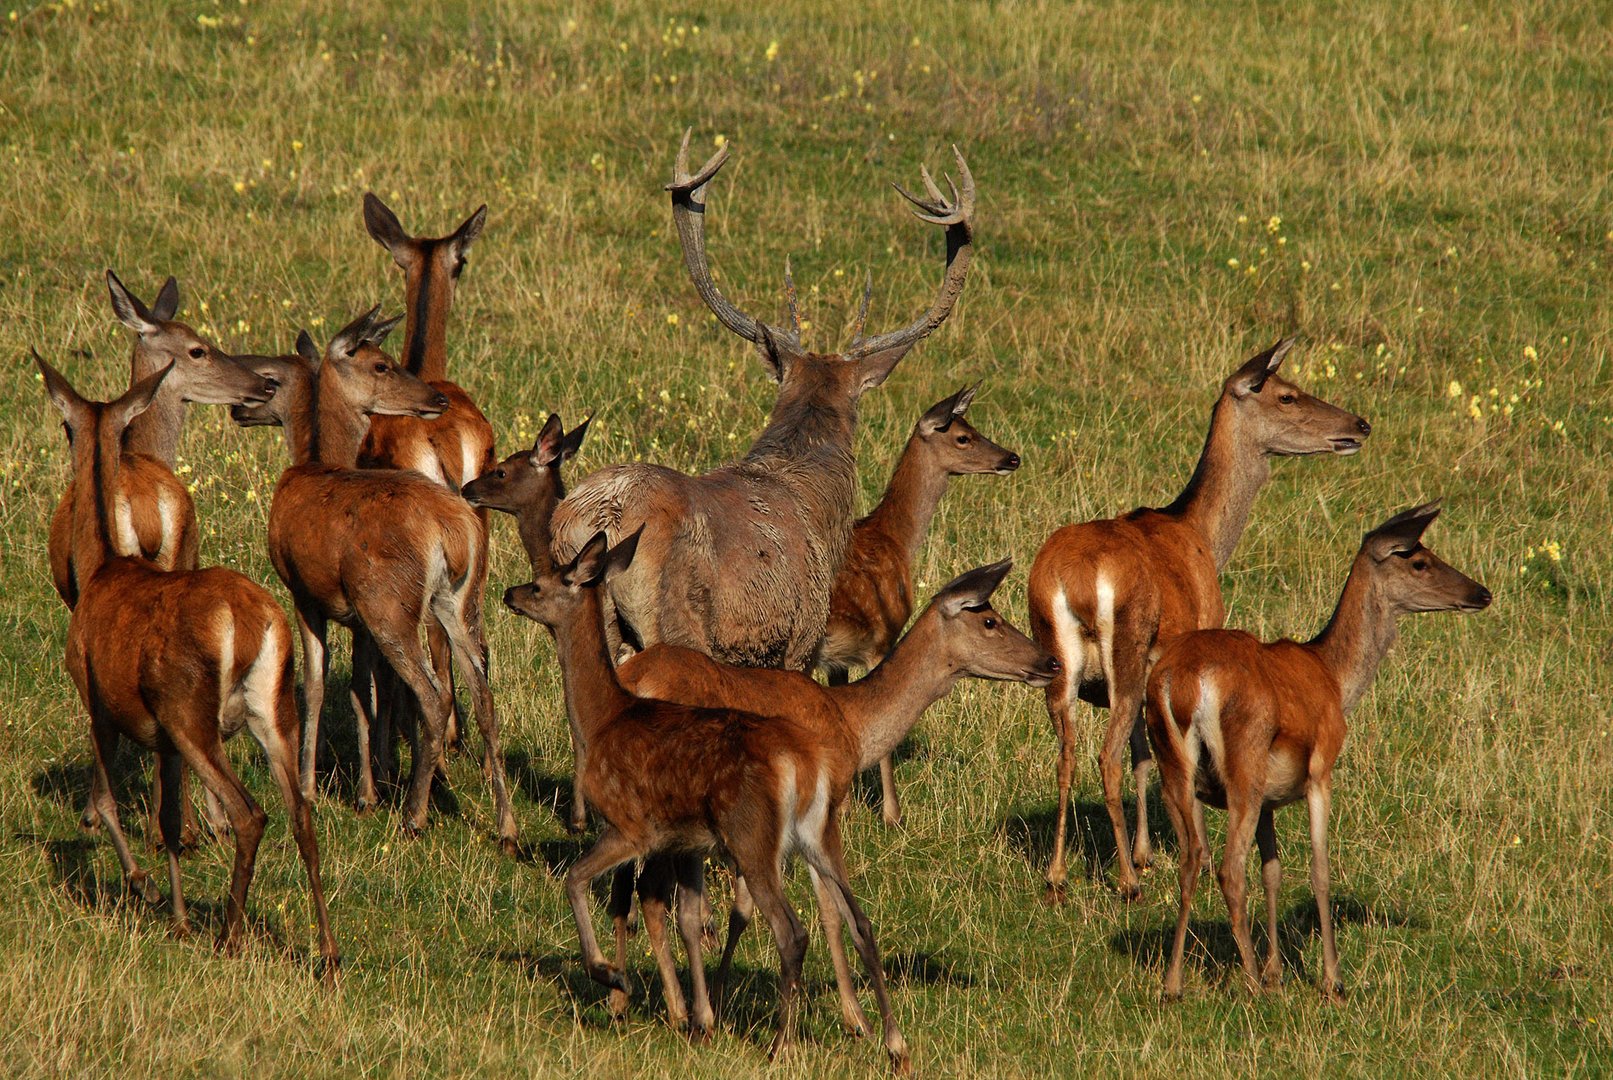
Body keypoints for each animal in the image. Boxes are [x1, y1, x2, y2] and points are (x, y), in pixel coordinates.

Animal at [233, 309, 516, 851]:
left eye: (270, 377)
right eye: (381, 363)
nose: (239, 406)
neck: (312, 464)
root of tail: (451, 530)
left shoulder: (305, 593)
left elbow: (317, 684)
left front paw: (314, 787)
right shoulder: (357, 617)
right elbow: (362, 692)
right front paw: (370, 787)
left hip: (391, 601)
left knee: (435, 694)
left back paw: (415, 815)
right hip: (457, 597)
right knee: (482, 687)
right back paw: (506, 828)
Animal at [1025, 340, 1367, 902]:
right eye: (1286, 394)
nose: (1360, 424)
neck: (1202, 534)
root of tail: (1073, 580)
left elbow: (1145, 754)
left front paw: (1147, 853)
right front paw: (1184, 858)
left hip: (1054, 656)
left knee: (1067, 754)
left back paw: (1057, 873)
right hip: (1126, 646)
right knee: (1105, 756)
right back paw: (1125, 881)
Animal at [1148, 502, 1483, 1005]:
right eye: (1419, 560)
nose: (1481, 592)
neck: (1334, 679)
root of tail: (1183, 684)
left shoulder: (1270, 799)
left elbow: (1272, 872)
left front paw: (1277, 971)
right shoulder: (1321, 768)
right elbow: (1320, 870)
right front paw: (1331, 979)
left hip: (1172, 766)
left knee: (1193, 860)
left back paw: (1174, 984)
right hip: (1243, 765)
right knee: (1228, 869)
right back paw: (1251, 984)